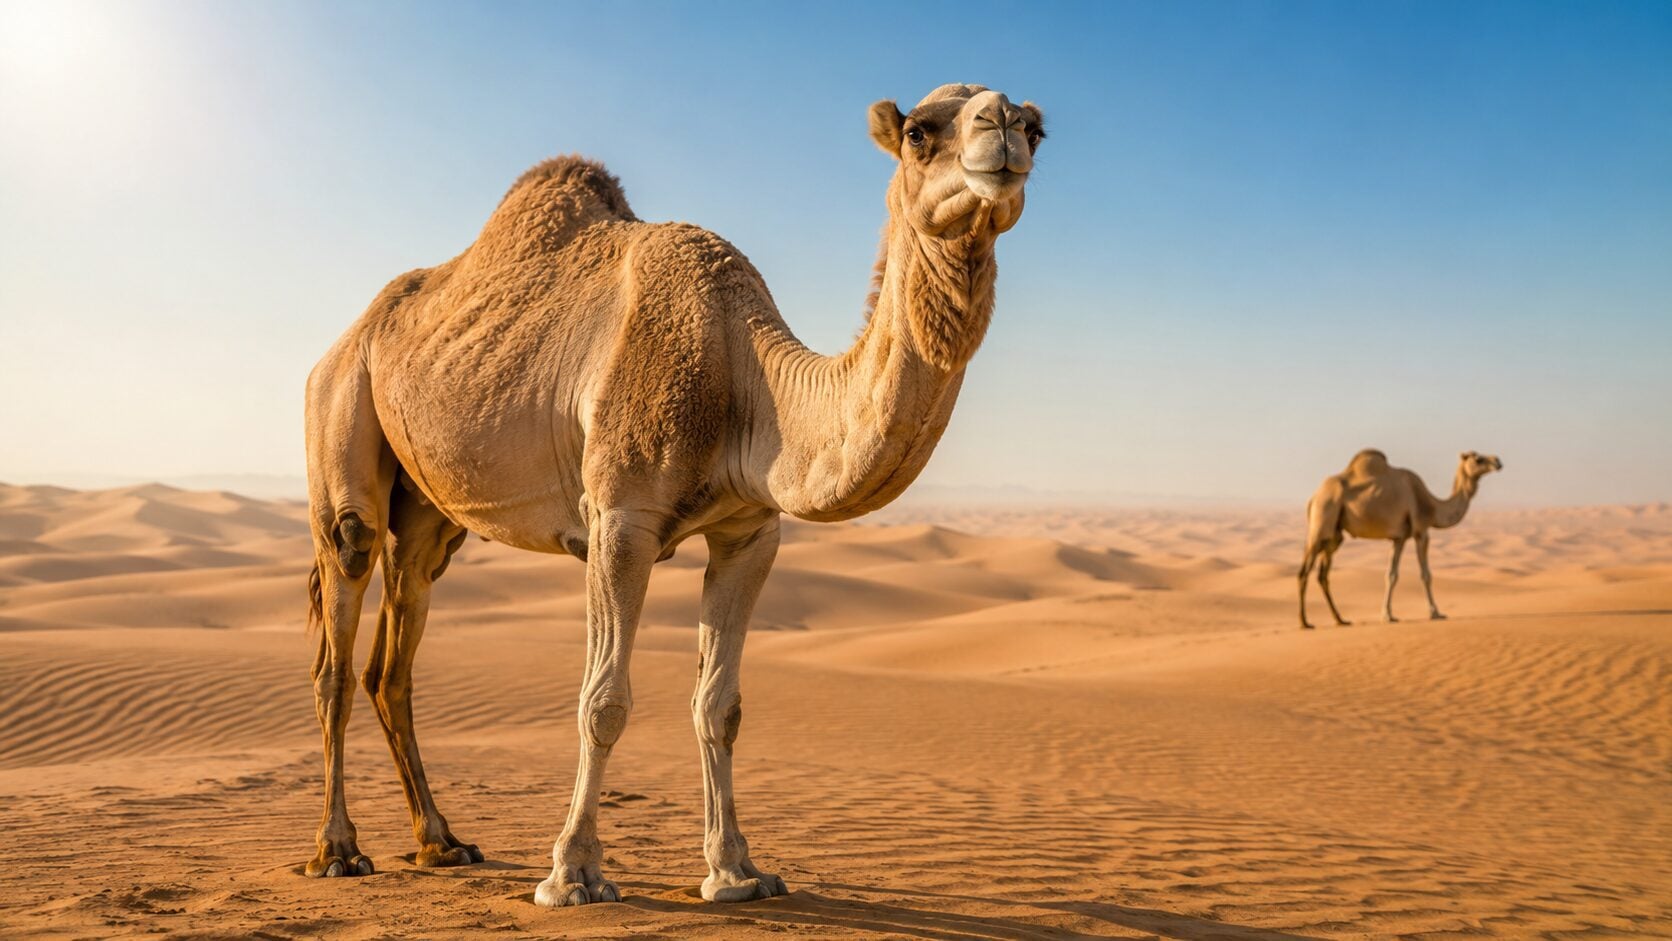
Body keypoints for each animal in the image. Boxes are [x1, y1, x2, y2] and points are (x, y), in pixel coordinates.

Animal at [301, 84, 1045, 905]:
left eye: (1039, 129)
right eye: (918, 132)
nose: (1003, 125)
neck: (742, 373)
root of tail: (346, 338)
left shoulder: (751, 532)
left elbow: (720, 704)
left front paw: (736, 871)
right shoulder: (619, 519)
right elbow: (604, 700)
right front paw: (573, 874)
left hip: (431, 516)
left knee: (393, 659)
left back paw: (441, 840)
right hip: (341, 424)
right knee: (339, 635)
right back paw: (337, 850)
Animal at [1298, 449, 1503, 629]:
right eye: (1478, 459)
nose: (1498, 461)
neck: (1433, 507)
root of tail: (1313, 498)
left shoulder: (1399, 538)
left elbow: (1391, 574)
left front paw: (1388, 615)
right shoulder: (1421, 530)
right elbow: (1426, 574)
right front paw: (1435, 613)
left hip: (1334, 535)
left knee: (1323, 575)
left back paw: (1340, 620)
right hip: (1323, 516)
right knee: (1304, 572)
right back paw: (1305, 622)